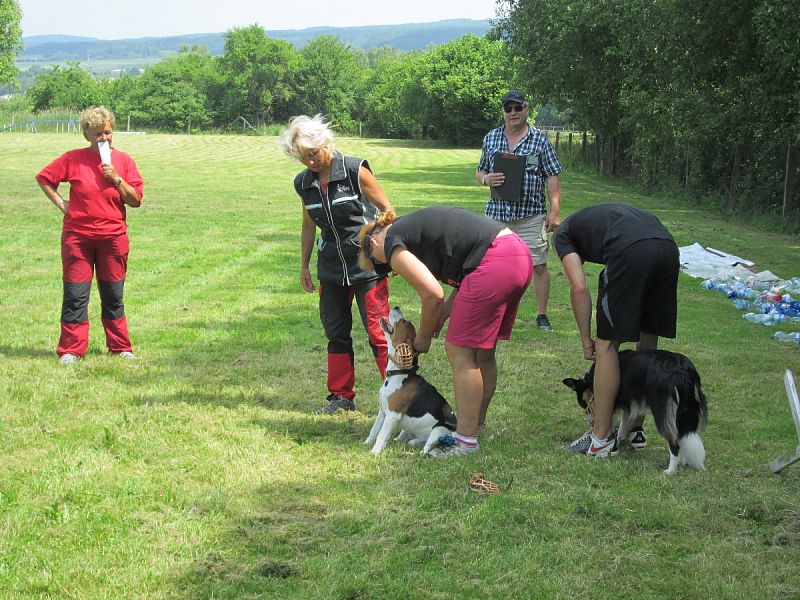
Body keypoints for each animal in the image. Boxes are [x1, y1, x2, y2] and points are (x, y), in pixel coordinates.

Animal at [364, 308, 456, 458]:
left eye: (404, 323)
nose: (396, 306)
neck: (398, 373)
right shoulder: (382, 412)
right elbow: (374, 430)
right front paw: (366, 444)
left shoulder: (392, 415)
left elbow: (381, 435)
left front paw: (374, 452)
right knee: (412, 440)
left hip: (438, 430)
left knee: (426, 448)